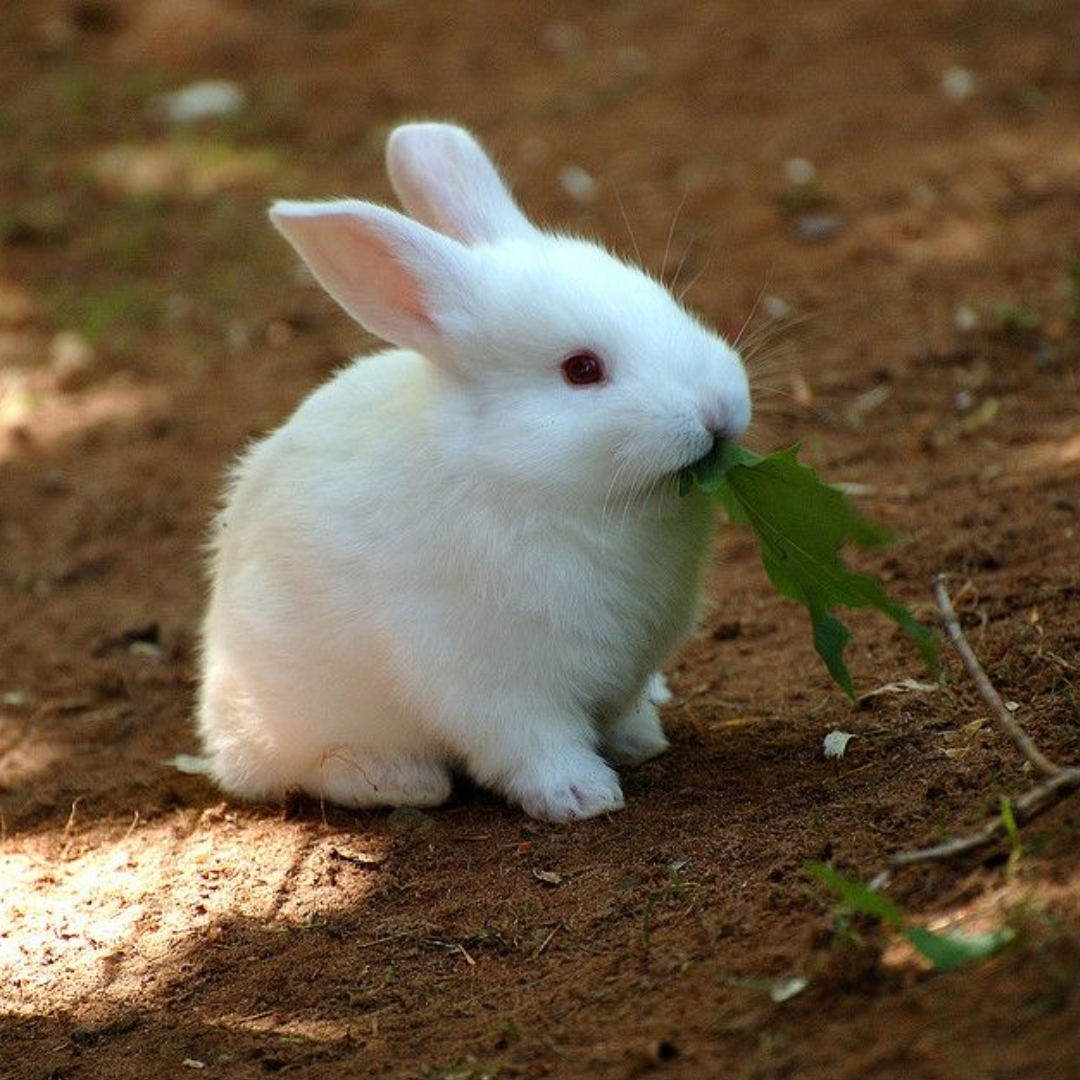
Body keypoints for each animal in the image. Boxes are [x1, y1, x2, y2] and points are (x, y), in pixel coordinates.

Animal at [197, 121, 751, 822]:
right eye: (582, 370)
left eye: (666, 303)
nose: (718, 410)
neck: (529, 480)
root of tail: (217, 723)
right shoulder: (491, 682)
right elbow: (532, 745)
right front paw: (582, 797)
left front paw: (639, 741)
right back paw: (397, 780)